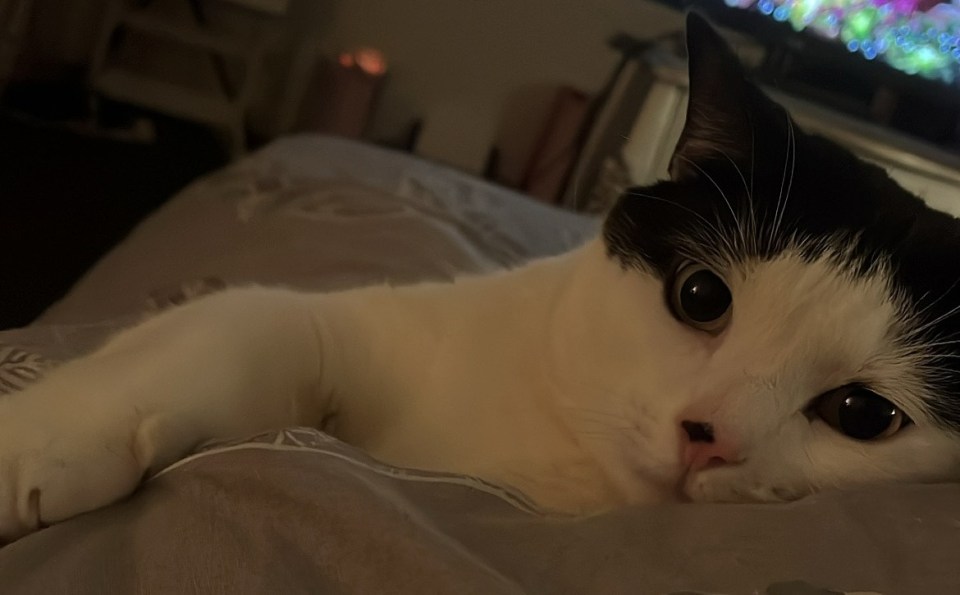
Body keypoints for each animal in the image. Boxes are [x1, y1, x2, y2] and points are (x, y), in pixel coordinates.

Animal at [1, 12, 960, 544]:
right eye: (701, 297)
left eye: (862, 414)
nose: (708, 438)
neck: (558, 457)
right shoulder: (350, 326)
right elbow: (247, 322)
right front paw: (41, 444)